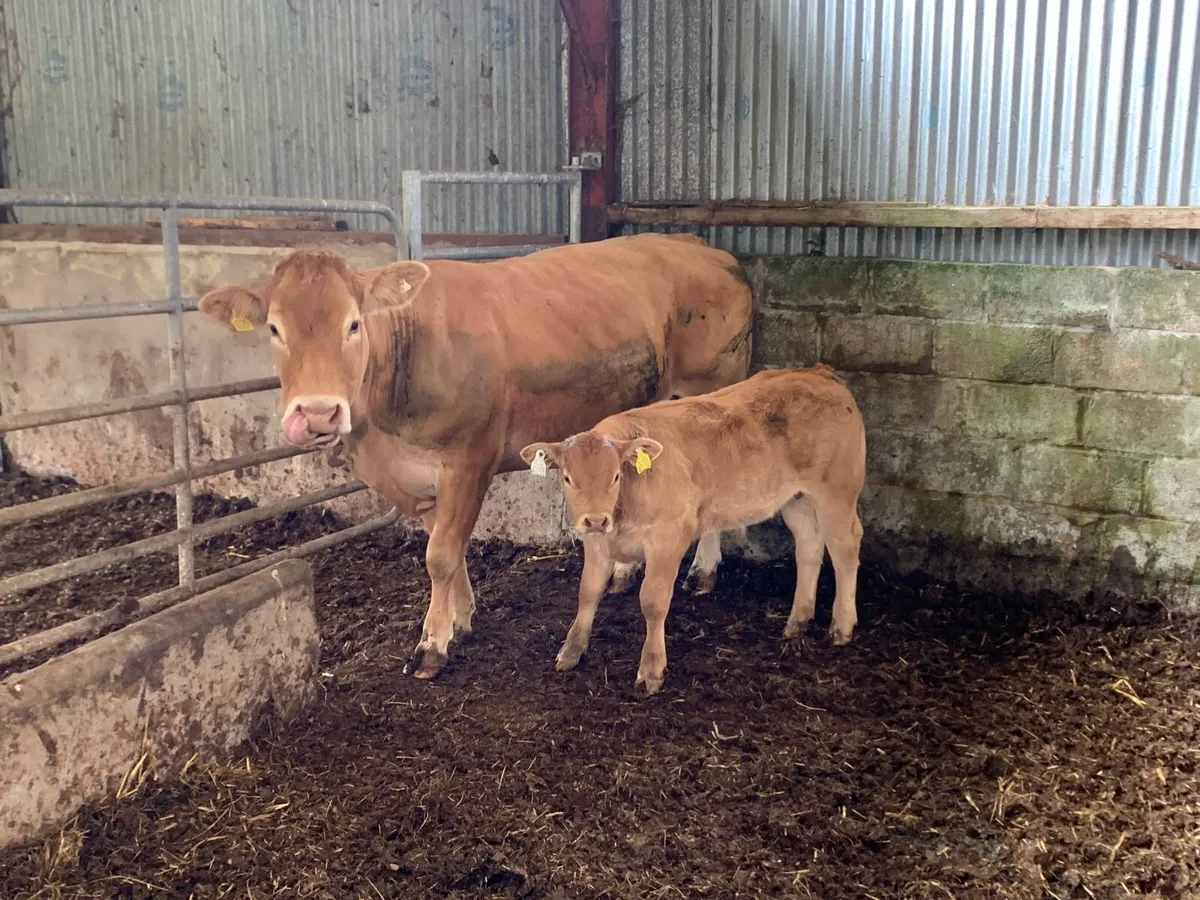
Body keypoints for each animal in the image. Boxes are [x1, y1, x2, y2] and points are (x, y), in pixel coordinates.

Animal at [196, 233, 753, 679]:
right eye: (274, 329)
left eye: (353, 325)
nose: (317, 413)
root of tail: (700, 245)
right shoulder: (419, 481)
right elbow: (448, 548)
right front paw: (459, 620)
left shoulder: (469, 461)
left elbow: (441, 555)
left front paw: (432, 644)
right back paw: (621, 572)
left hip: (711, 390)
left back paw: (704, 571)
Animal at [519, 365, 866, 695]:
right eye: (567, 478)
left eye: (616, 475)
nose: (595, 520)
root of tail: (817, 373)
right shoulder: (596, 544)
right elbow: (588, 592)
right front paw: (571, 651)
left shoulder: (669, 538)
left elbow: (653, 601)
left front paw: (651, 670)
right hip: (797, 499)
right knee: (809, 547)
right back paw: (797, 620)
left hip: (837, 492)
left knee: (846, 547)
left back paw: (842, 625)